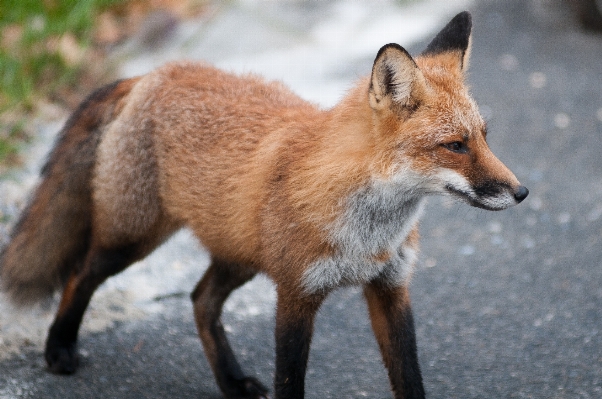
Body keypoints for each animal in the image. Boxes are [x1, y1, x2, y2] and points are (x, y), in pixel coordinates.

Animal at [0, 11, 524, 399]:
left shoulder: (391, 289)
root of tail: (154, 72)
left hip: (239, 255)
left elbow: (409, 378)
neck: (367, 233)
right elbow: (290, 381)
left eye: (483, 137)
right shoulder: (295, 294)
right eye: (455, 146)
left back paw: (231, 382)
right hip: (132, 240)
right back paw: (59, 349)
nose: (521, 192)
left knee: (200, 301)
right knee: (79, 275)